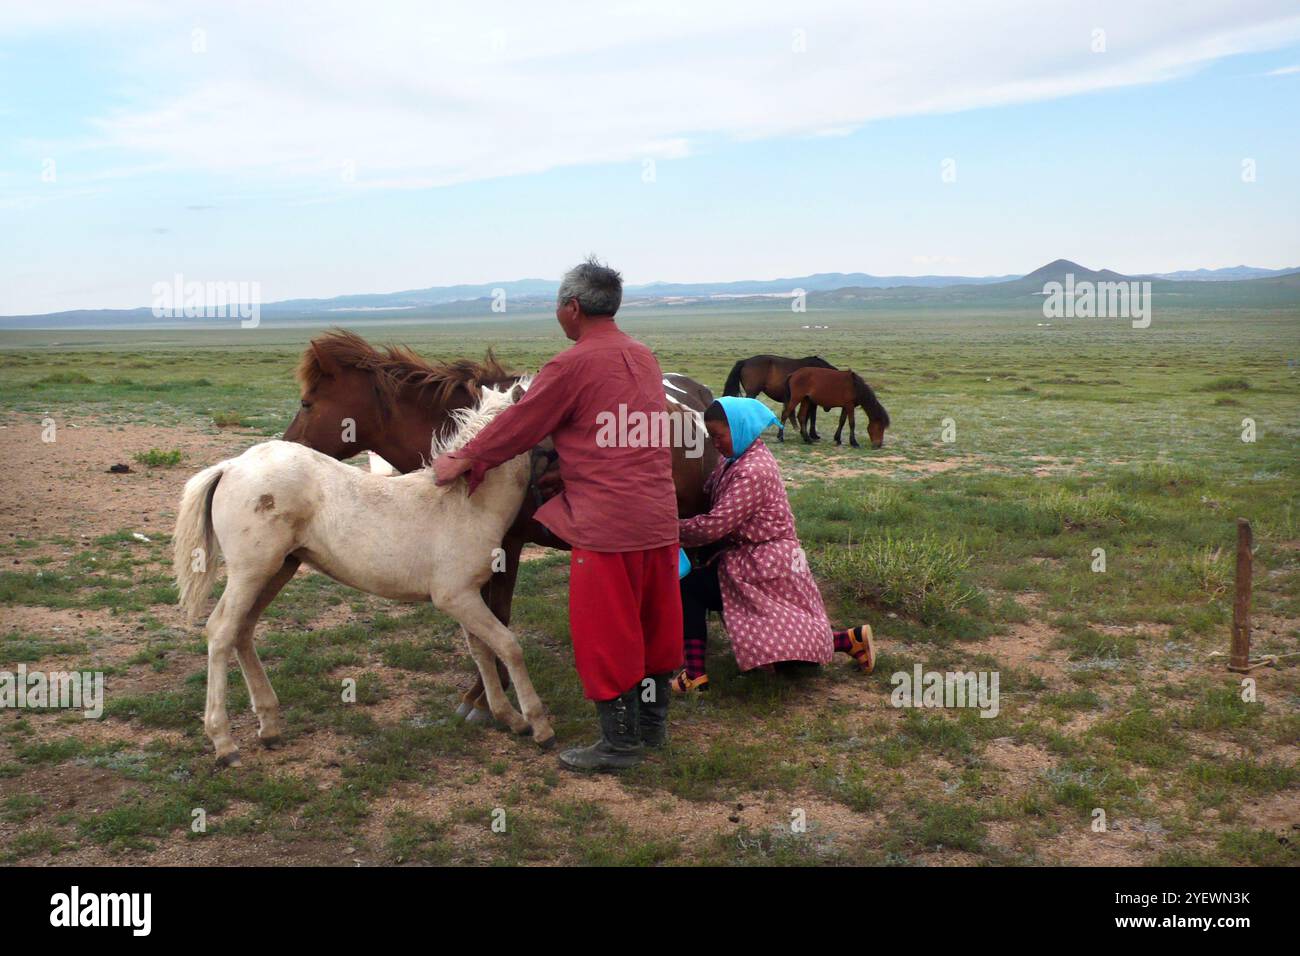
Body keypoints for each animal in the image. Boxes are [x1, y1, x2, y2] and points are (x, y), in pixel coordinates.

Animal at [171, 385, 548, 764]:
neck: (464, 504)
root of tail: (231, 466)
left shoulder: (466, 597)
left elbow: (483, 650)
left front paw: (508, 717)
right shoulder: (456, 597)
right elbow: (508, 645)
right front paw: (538, 725)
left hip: (277, 570)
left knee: (243, 630)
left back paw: (270, 727)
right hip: (251, 571)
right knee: (221, 631)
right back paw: (224, 743)